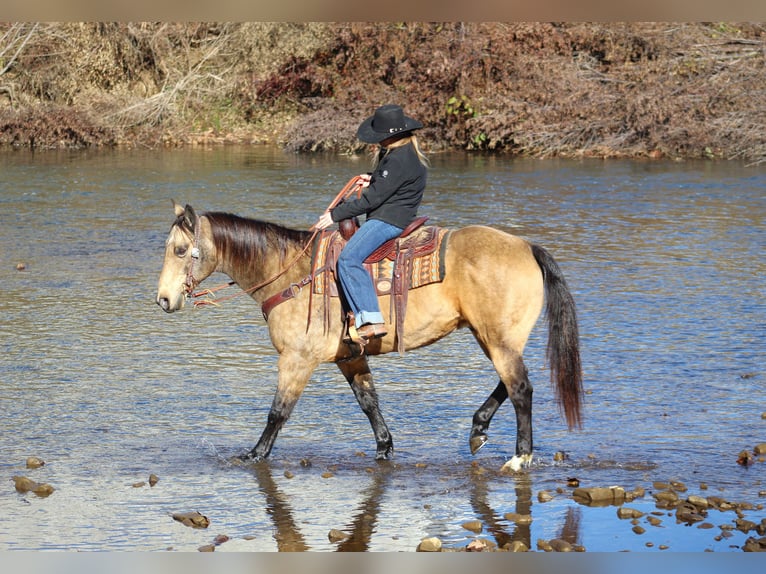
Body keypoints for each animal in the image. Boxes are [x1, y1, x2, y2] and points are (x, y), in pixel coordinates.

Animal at [159, 198, 584, 472]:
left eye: (180, 249)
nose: (163, 299)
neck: (292, 274)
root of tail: (527, 247)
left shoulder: (297, 359)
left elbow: (278, 411)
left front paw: (255, 454)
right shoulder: (350, 357)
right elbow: (368, 402)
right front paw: (384, 449)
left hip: (497, 340)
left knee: (521, 389)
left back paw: (519, 456)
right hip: (495, 337)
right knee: (510, 384)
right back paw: (477, 429)